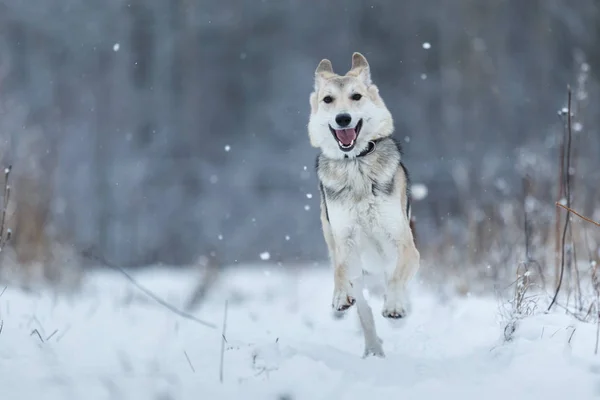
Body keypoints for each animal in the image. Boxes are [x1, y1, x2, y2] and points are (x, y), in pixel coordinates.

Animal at [308, 52, 420, 356]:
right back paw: (373, 349)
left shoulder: (403, 243)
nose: (343, 118)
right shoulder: (343, 239)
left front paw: (394, 307)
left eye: (356, 96)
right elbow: (340, 270)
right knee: (364, 309)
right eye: (328, 100)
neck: (355, 165)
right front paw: (340, 296)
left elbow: (396, 277)